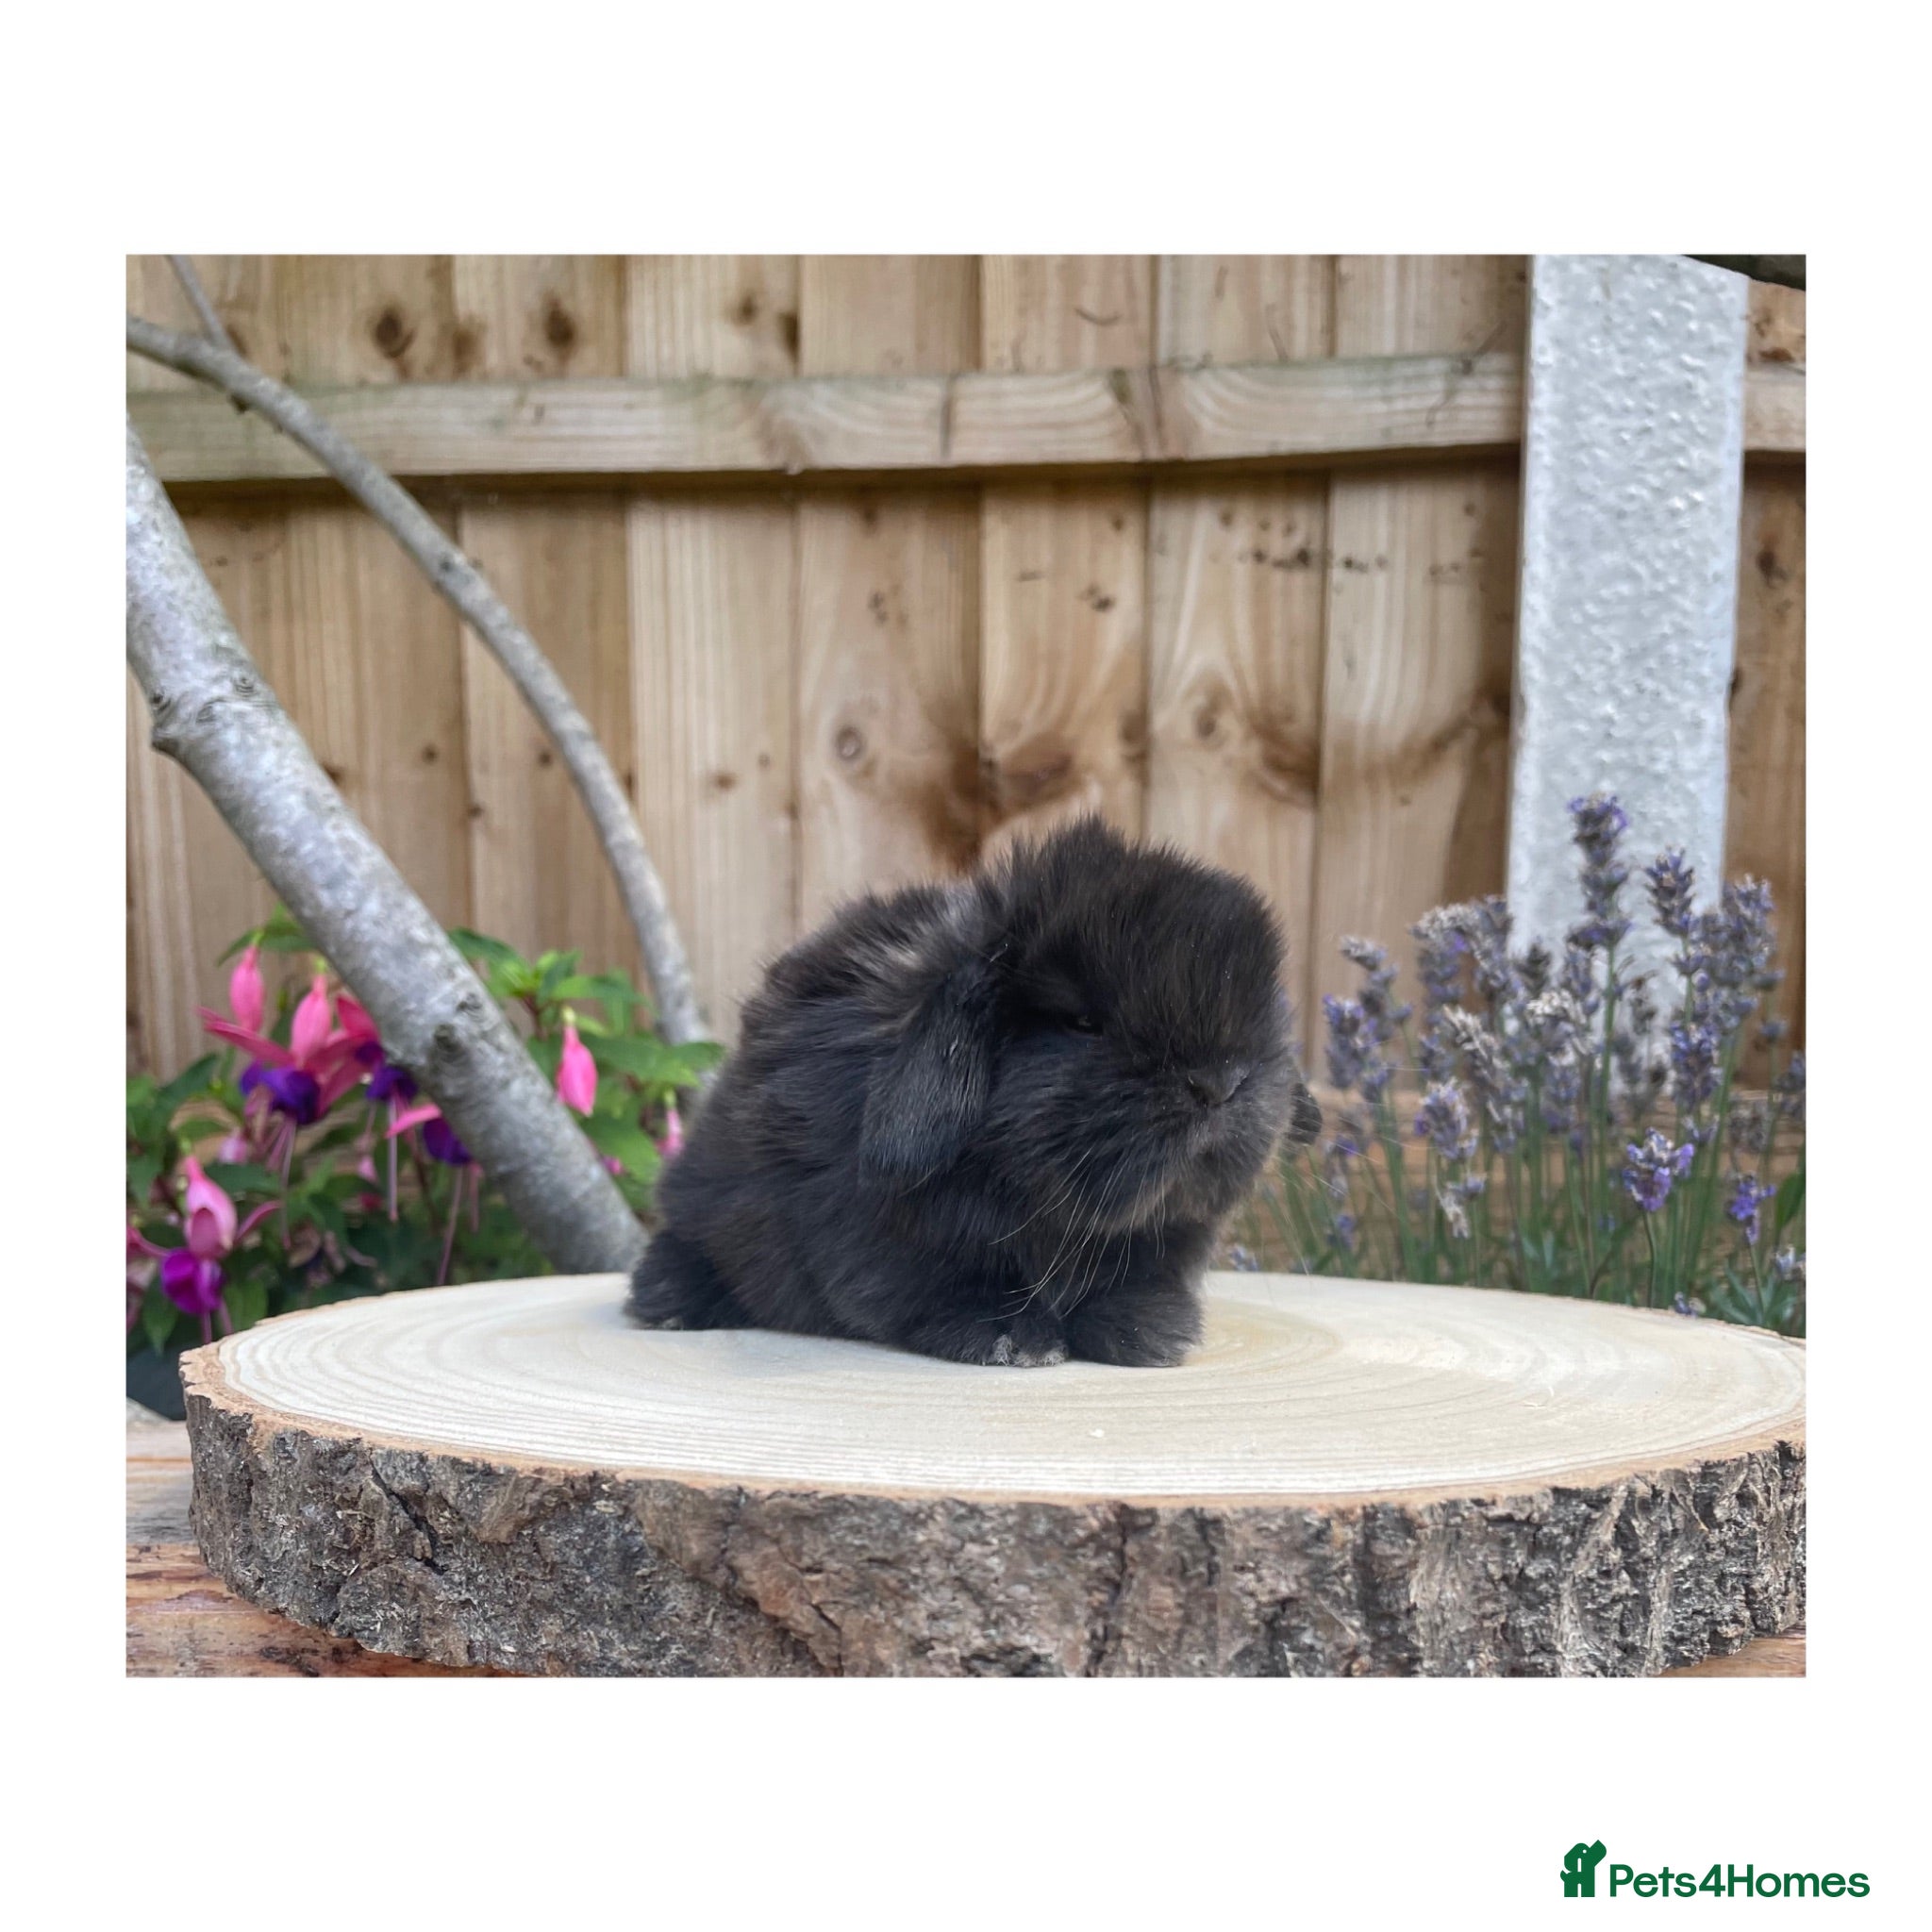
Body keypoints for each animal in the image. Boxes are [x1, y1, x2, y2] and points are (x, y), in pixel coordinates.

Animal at [627, 815, 1320, 1367]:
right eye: (1082, 1023)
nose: (1220, 1082)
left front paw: (1150, 1332)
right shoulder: (876, 1235)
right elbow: (933, 1286)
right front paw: (1018, 1341)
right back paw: (672, 1301)